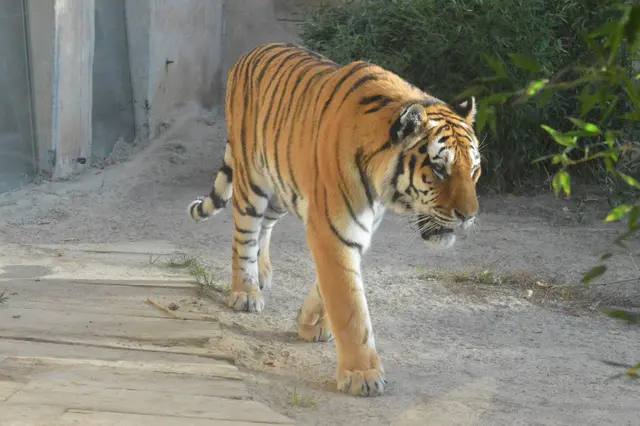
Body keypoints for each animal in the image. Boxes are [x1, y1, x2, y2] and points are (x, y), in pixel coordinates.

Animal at [187, 43, 482, 397]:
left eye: (474, 169)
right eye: (439, 169)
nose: (469, 215)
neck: (382, 189)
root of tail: (250, 52)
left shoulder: (353, 230)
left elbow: (329, 285)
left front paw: (311, 321)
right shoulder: (334, 229)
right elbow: (350, 305)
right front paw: (362, 375)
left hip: (281, 187)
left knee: (266, 227)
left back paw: (263, 272)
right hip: (252, 180)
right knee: (244, 235)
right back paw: (246, 292)